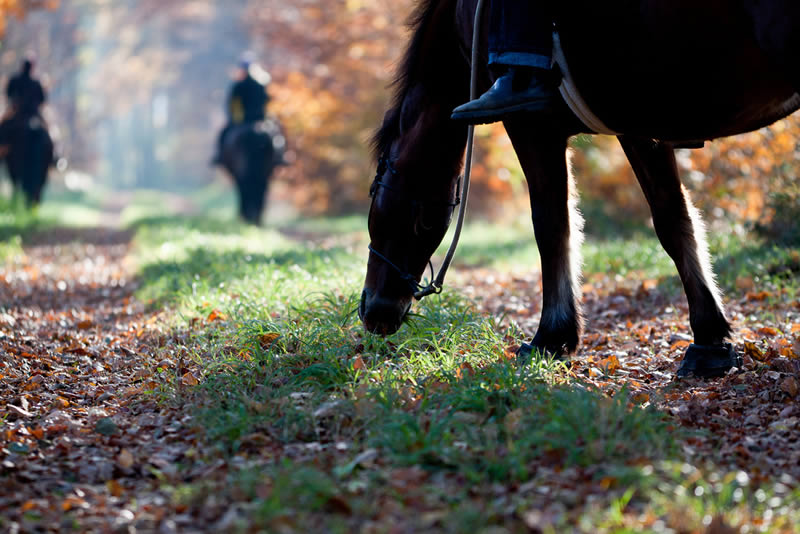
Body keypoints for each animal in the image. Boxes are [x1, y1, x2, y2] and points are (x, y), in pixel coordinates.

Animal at [360, 0, 800, 378]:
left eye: (378, 200)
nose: (372, 311)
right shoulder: (641, 127)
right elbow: (674, 220)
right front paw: (711, 341)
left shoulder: (534, 127)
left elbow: (552, 225)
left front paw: (551, 338)